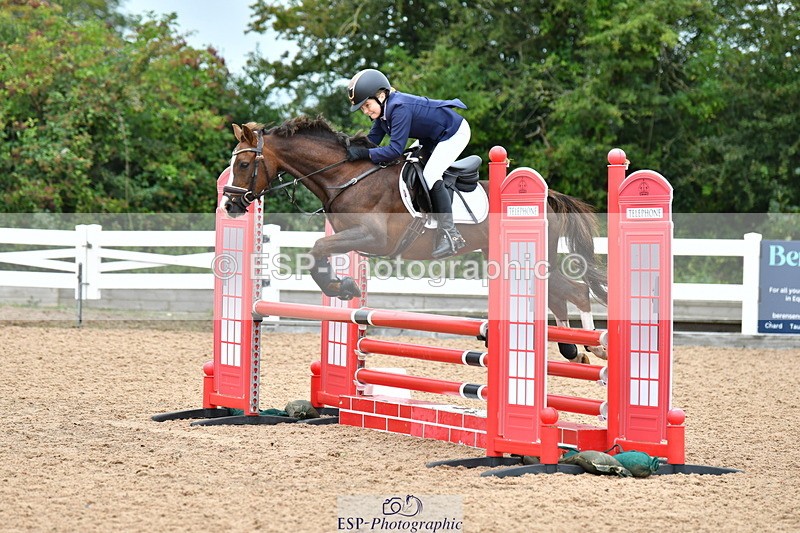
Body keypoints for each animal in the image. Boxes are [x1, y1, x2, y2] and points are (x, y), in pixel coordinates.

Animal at [222, 116, 608, 362]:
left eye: (243, 165)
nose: (229, 205)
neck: (346, 176)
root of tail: (550, 196)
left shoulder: (373, 238)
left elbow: (317, 250)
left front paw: (341, 287)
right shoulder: (352, 237)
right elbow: (319, 253)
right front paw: (344, 285)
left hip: (533, 260)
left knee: (576, 291)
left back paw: (595, 347)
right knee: (558, 297)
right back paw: (572, 350)